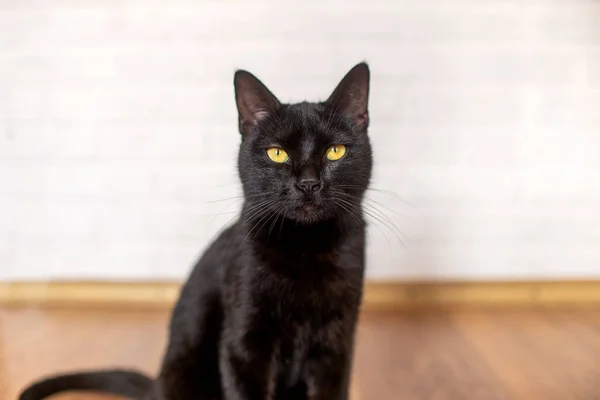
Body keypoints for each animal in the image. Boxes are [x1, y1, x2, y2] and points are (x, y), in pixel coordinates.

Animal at [18, 62, 370, 400]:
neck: (306, 248)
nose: (308, 183)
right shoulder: (243, 345)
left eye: (335, 151)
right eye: (277, 153)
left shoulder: (337, 347)